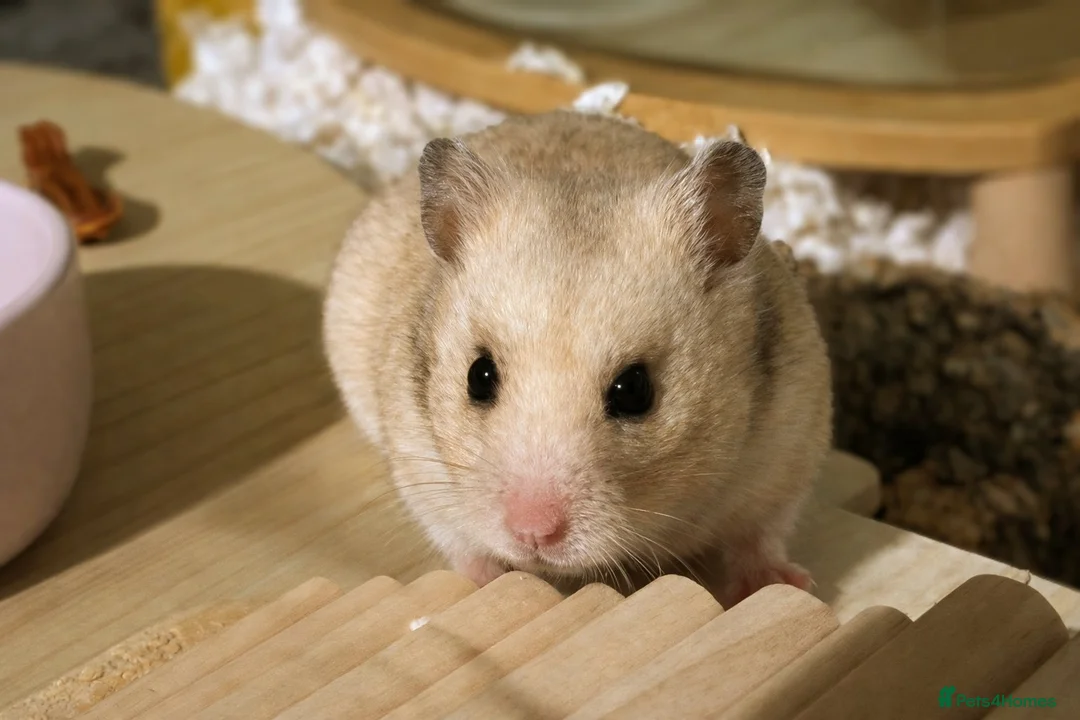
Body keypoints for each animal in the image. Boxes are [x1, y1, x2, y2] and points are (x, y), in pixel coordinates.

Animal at [322, 110, 833, 607]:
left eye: (635, 391)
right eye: (478, 376)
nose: (533, 535)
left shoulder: (788, 449)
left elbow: (760, 535)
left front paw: (790, 585)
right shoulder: (420, 463)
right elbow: (462, 544)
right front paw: (489, 582)